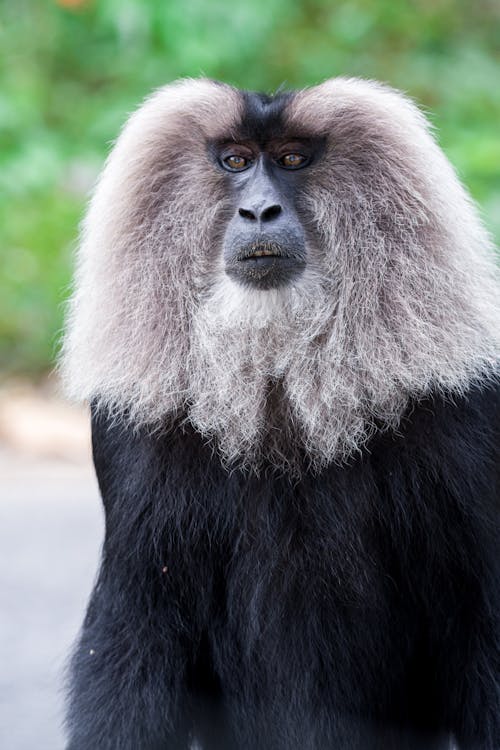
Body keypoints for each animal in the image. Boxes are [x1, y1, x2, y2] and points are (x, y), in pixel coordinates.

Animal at [60, 78, 498, 750]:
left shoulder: (467, 417)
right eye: (236, 161)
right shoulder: (126, 440)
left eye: (293, 159)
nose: (260, 212)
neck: (280, 388)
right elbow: (132, 638)